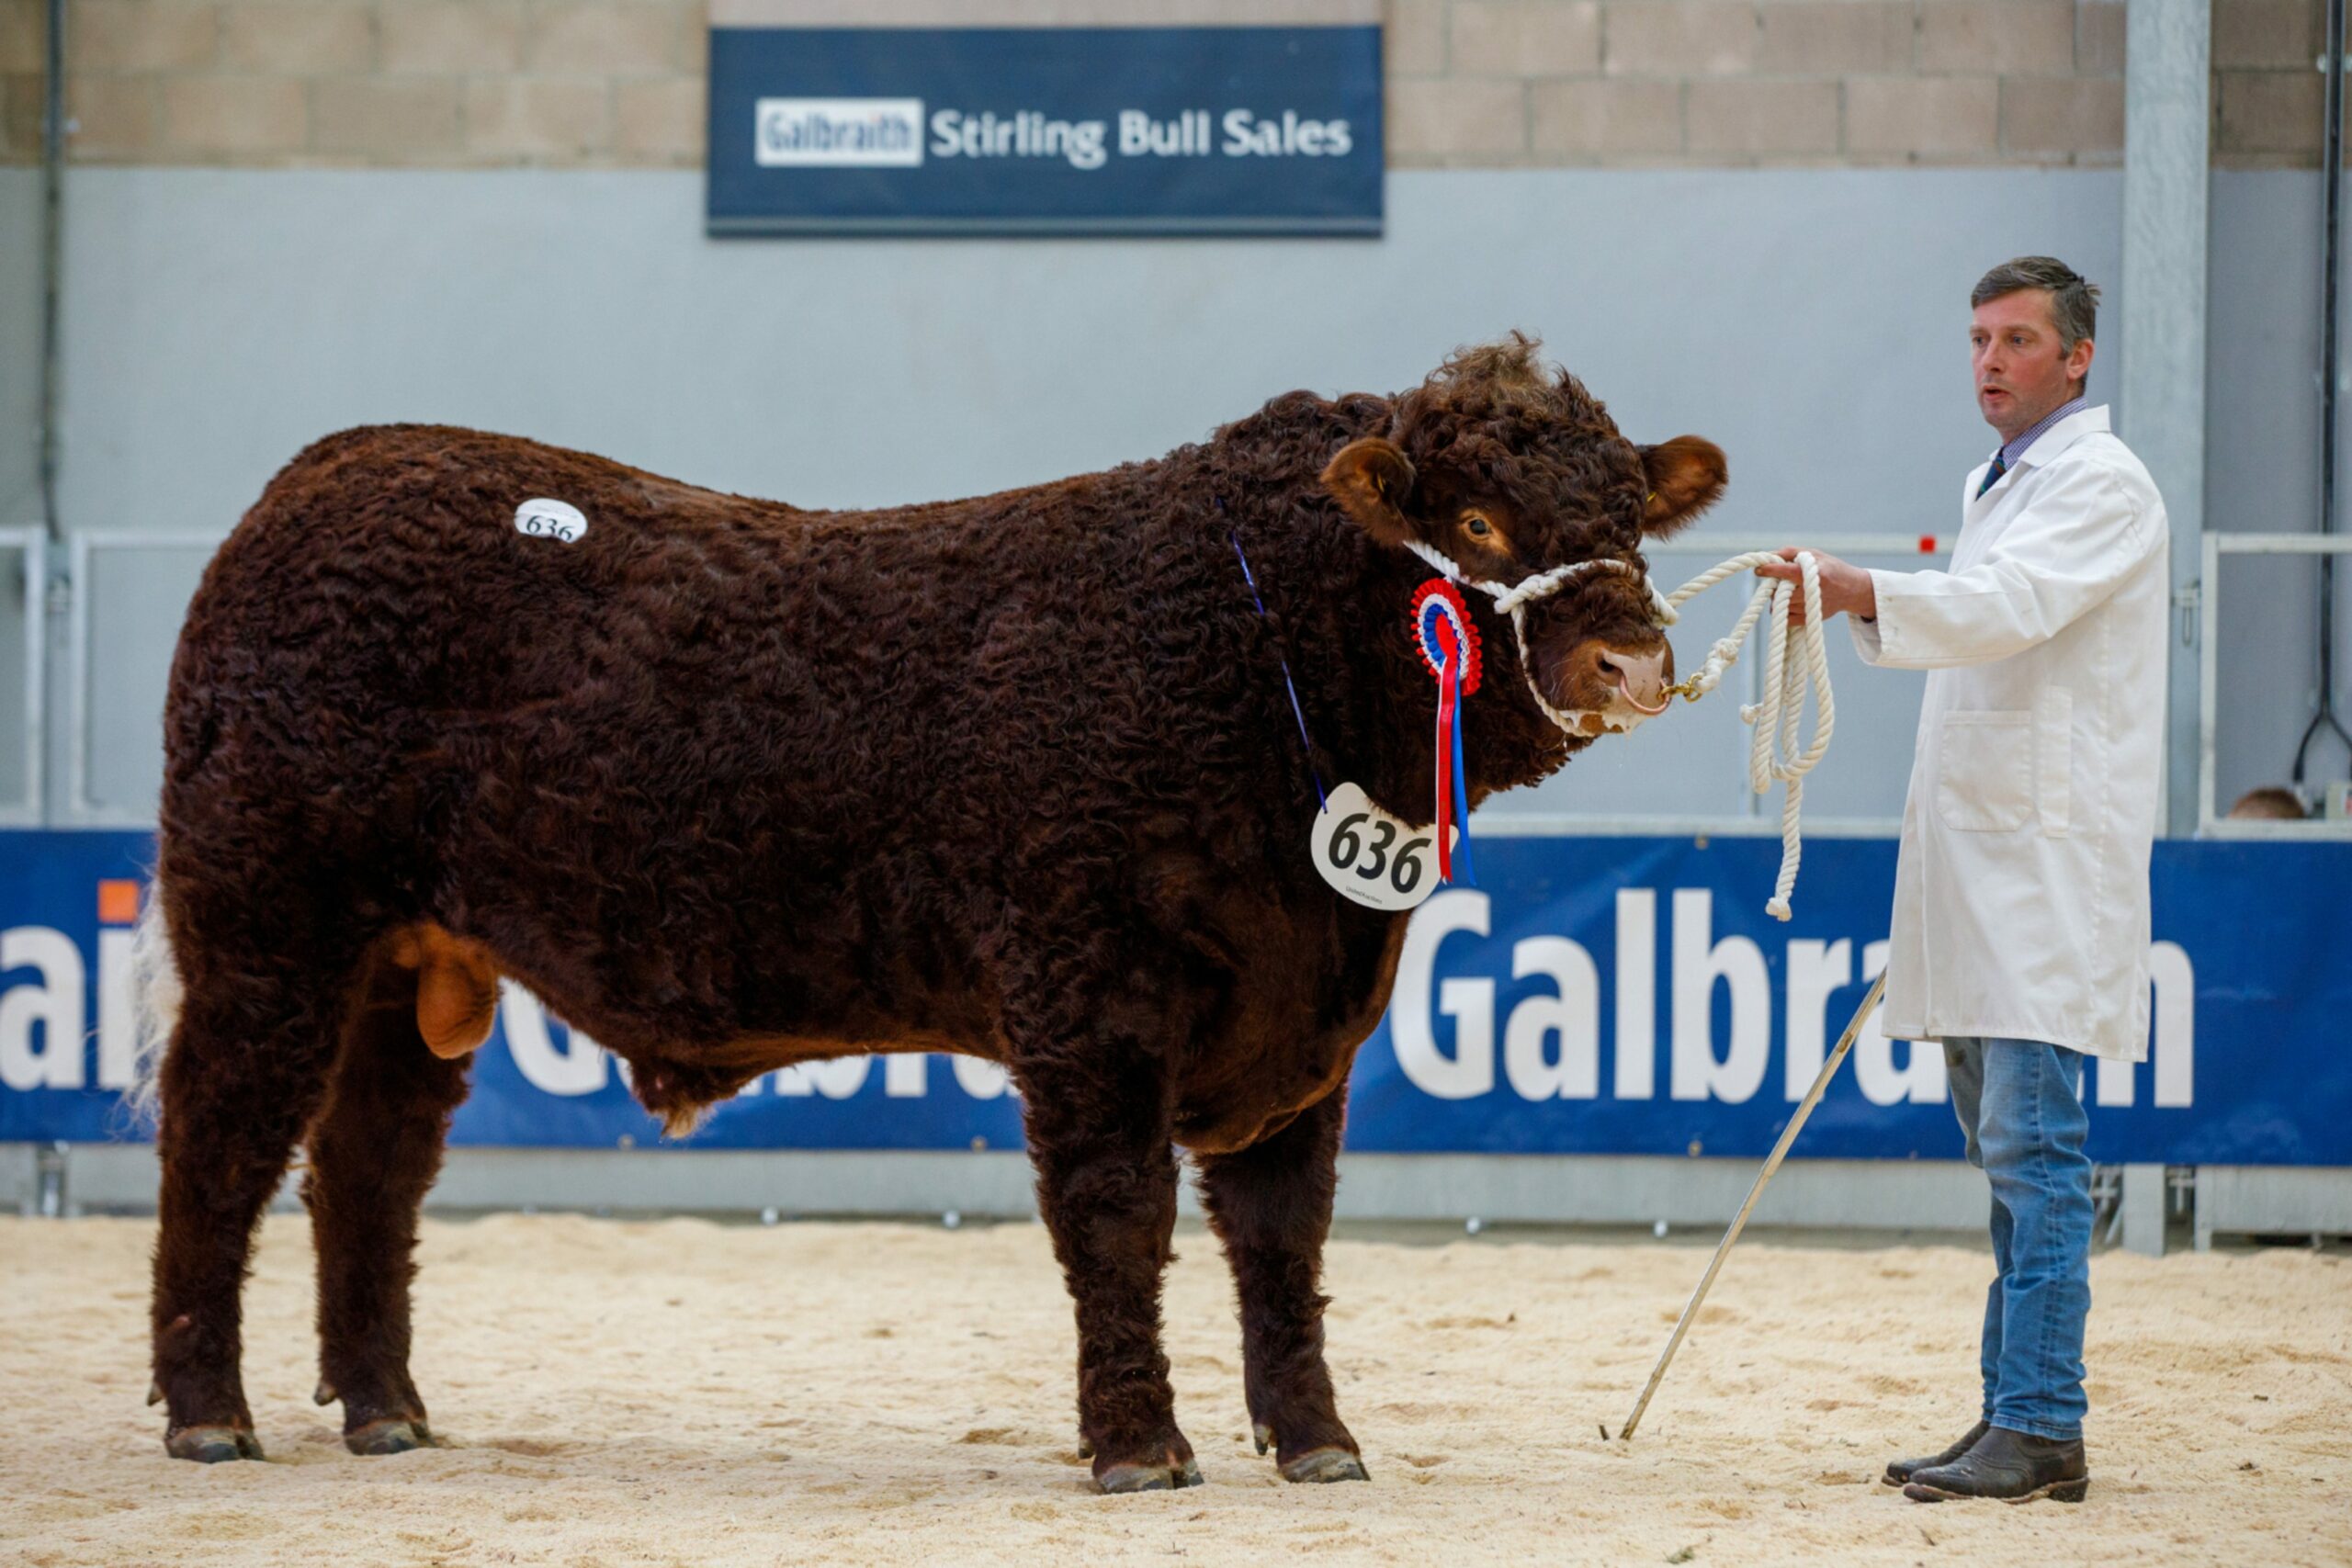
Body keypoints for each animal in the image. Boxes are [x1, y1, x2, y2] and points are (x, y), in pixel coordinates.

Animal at [137, 333, 1721, 1495]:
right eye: (1477, 518)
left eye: (1628, 519)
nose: (1638, 661)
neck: (1256, 650)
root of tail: (341, 462)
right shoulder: (1090, 993)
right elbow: (1116, 1214)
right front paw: (1140, 1444)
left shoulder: (1305, 1021)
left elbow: (1284, 1241)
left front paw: (1320, 1440)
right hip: (267, 925)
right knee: (219, 1144)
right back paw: (210, 1411)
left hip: (409, 962)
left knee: (369, 1166)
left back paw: (386, 1407)